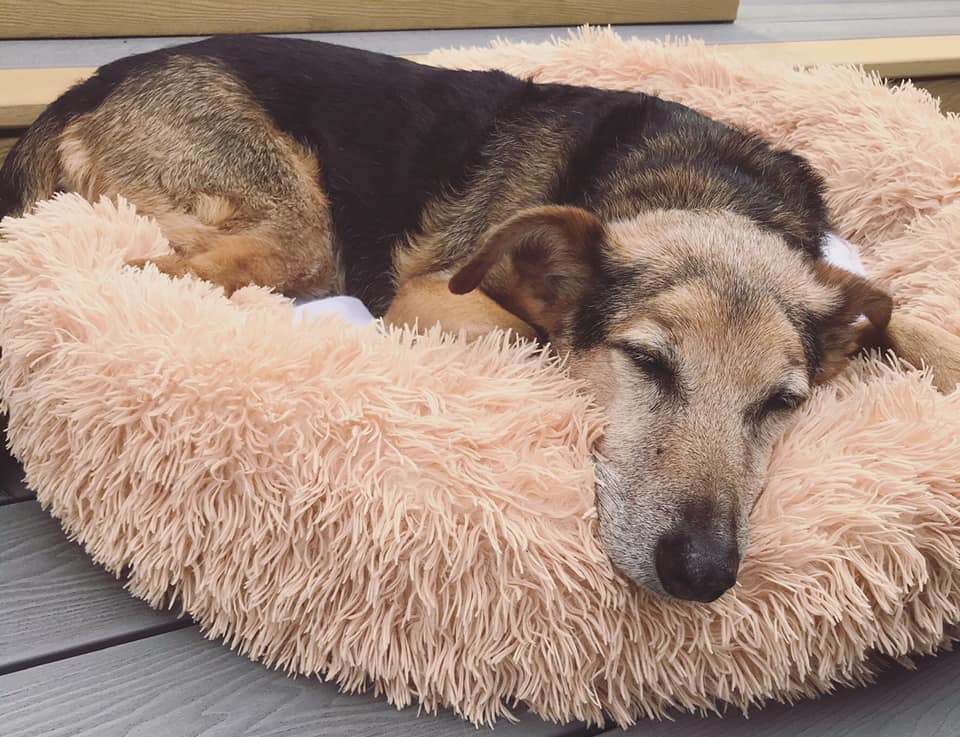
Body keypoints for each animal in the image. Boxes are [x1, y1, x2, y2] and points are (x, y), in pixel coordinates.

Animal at [1, 34, 952, 600]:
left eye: (783, 403)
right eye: (647, 362)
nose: (701, 573)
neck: (700, 185)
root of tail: (76, 93)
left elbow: (903, 319)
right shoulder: (436, 288)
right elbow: (521, 330)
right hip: (293, 232)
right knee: (156, 269)